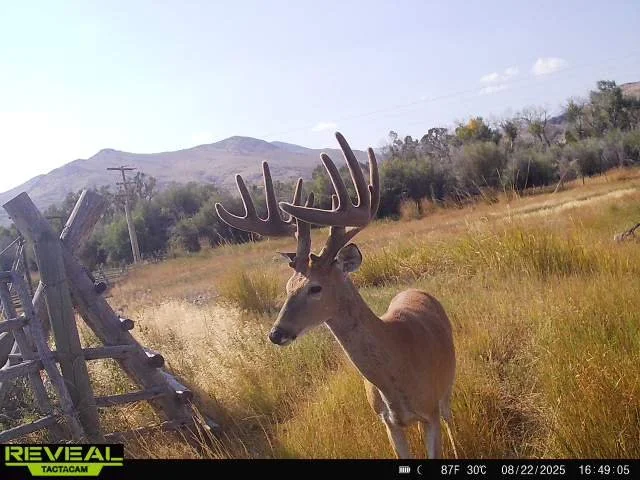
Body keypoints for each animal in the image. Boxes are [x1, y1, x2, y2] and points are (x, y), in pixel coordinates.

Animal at [215, 132, 456, 459]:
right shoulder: (387, 421)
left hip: (448, 384)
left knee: (451, 418)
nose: (276, 334)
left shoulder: (430, 411)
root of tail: (415, 289)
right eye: (287, 286)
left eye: (315, 287)